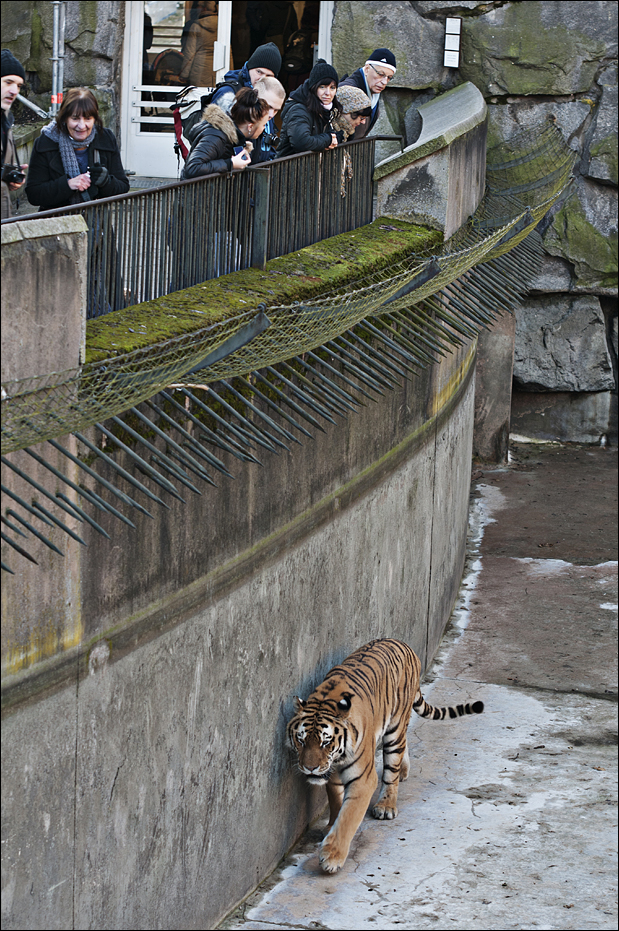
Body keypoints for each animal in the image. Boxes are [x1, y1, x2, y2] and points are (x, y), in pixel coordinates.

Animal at [286, 638, 484, 874]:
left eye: (325, 742)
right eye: (301, 740)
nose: (310, 768)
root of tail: (404, 645)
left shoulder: (363, 779)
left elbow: (348, 817)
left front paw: (332, 856)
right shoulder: (331, 772)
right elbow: (336, 801)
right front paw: (330, 826)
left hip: (395, 728)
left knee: (392, 769)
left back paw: (386, 805)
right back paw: (404, 771)